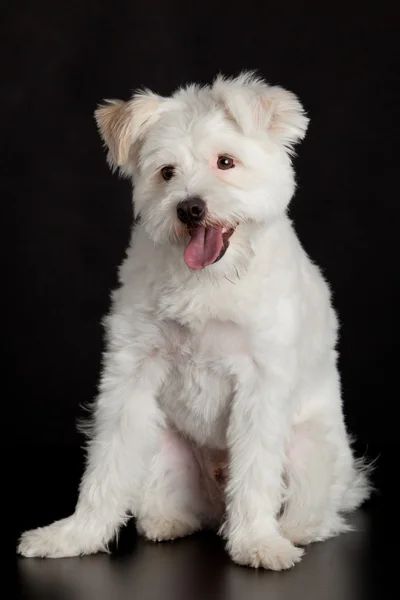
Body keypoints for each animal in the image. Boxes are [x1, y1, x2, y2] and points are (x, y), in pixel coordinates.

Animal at [17, 72, 370, 568]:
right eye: (166, 172)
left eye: (225, 162)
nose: (189, 208)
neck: (209, 280)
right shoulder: (130, 373)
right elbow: (105, 466)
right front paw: (74, 535)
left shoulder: (261, 384)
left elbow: (256, 472)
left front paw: (256, 542)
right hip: (161, 442)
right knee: (177, 504)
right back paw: (168, 521)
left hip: (311, 449)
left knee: (315, 509)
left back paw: (293, 530)